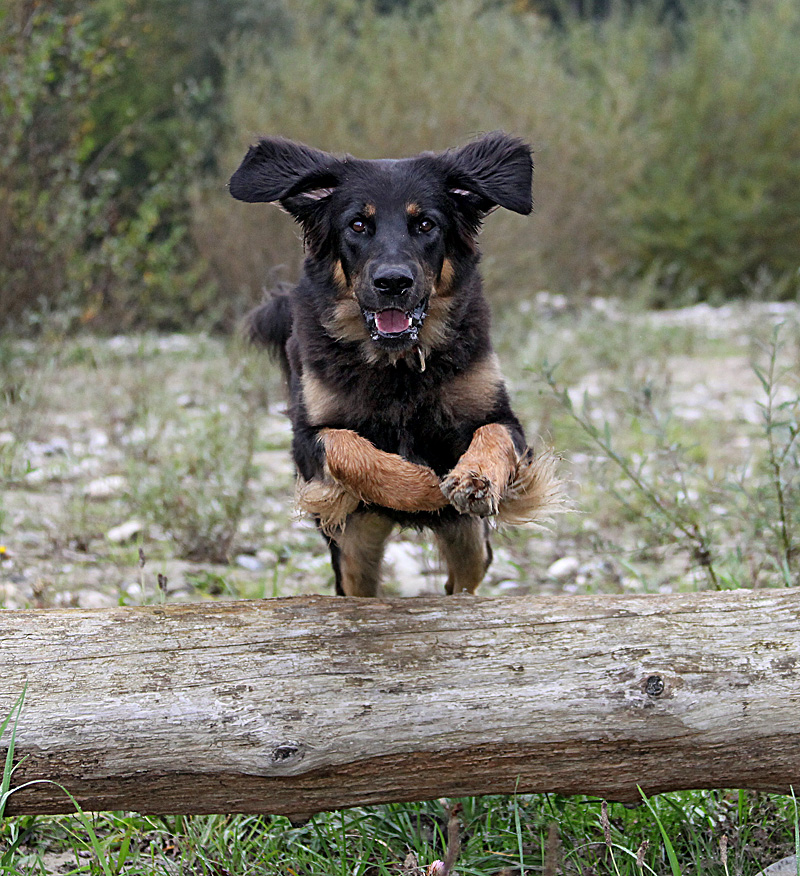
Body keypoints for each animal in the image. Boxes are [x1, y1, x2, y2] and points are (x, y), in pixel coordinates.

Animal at [228, 132, 560, 596]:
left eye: (425, 225)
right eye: (357, 225)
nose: (393, 282)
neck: (397, 364)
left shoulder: (503, 420)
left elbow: (493, 433)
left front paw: (473, 478)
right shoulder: (306, 439)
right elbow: (347, 447)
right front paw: (421, 489)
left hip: (469, 545)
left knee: (464, 576)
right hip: (353, 550)